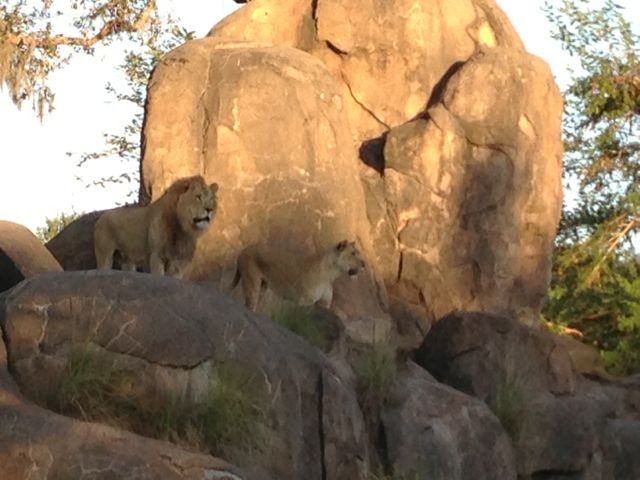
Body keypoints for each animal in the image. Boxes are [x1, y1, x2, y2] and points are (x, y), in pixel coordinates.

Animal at [230, 240, 364, 312]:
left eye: (358, 253)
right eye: (353, 253)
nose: (364, 264)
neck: (331, 275)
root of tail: (245, 249)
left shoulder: (324, 304)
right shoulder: (304, 301)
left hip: (263, 287)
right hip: (252, 284)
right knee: (250, 305)